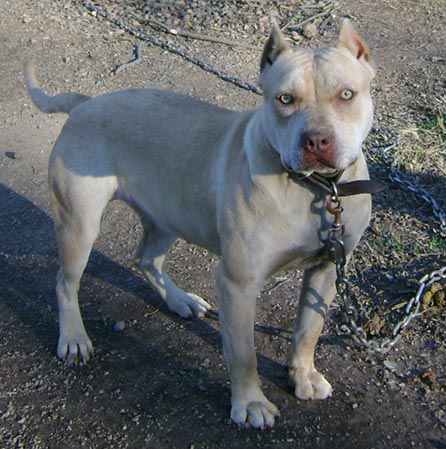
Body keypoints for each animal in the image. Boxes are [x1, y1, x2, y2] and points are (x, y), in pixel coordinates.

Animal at [26, 19, 376, 428]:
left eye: (346, 94)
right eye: (285, 99)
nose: (316, 140)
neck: (316, 188)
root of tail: (85, 103)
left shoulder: (325, 268)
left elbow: (308, 329)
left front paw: (302, 376)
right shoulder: (238, 284)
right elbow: (243, 354)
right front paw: (250, 403)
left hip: (165, 215)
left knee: (146, 259)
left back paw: (179, 300)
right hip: (78, 226)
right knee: (66, 283)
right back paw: (73, 338)